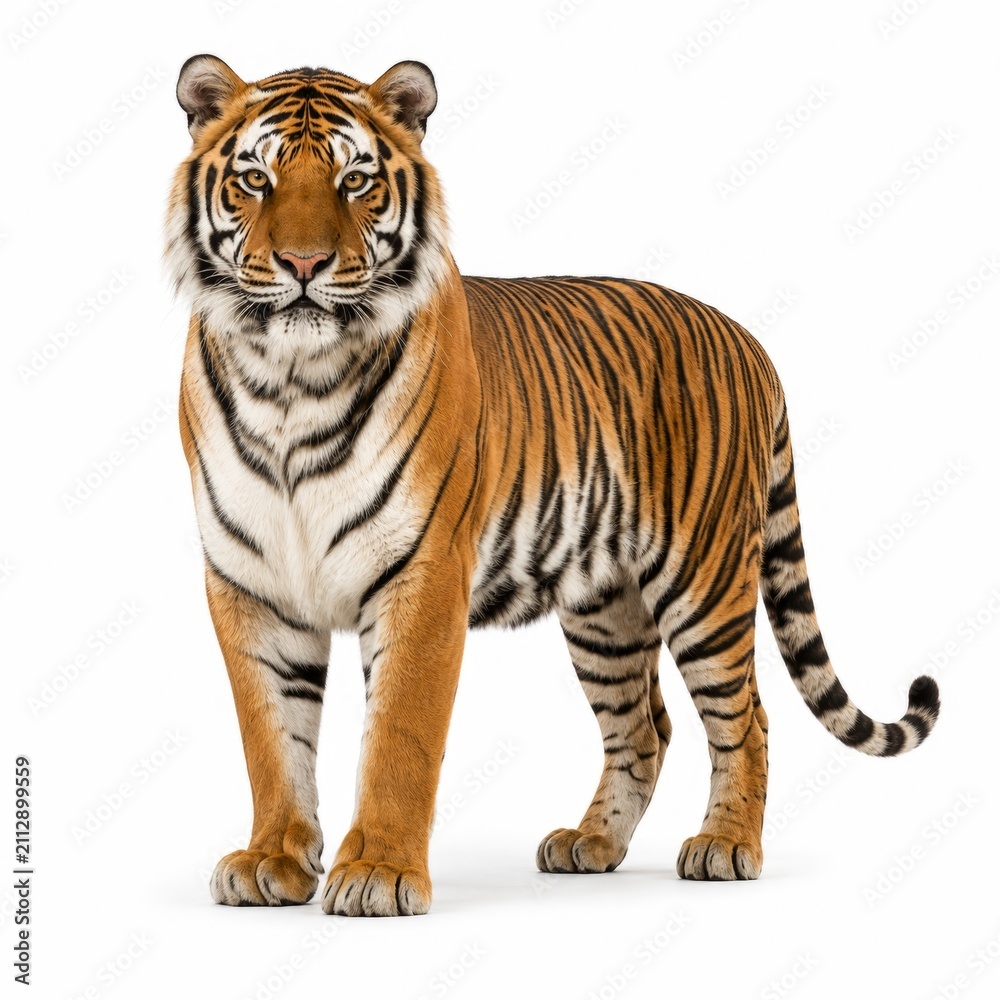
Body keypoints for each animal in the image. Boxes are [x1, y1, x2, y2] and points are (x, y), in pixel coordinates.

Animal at [166, 54, 940, 917]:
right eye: (256, 179)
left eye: (355, 180)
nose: (304, 267)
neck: (289, 383)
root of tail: (748, 339)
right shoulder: (250, 582)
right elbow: (270, 738)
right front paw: (273, 859)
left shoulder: (423, 577)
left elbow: (400, 736)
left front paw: (380, 873)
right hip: (605, 607)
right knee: (645, 727)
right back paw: (590, 844)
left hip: (704, 583)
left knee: (749, 717)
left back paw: (726, 845)